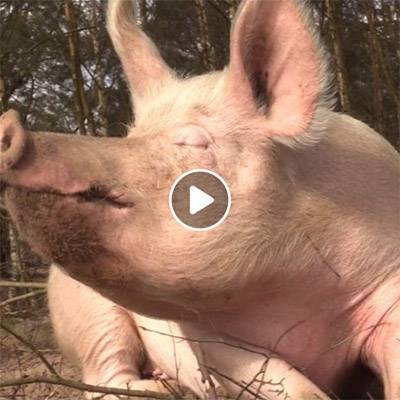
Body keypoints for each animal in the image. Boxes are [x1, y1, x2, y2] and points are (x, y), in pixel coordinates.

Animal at [0, 0, 400, 400]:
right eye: (133, 136)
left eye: (194, 141)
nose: (9, 125)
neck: (292, 295)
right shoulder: (208, 337)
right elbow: (292, 386)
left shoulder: (387, 282)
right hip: (87, 312)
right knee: (103, 378)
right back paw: (164, 385)